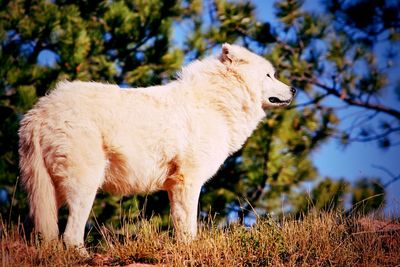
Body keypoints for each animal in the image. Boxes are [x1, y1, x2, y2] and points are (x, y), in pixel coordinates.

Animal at [18, 43, 294, 251]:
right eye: (269, 75)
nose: (293, 89)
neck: (217, 102)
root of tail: (38, 111)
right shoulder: (188, 181)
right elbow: (189, 228)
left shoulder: (174, 185)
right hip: (85, 186)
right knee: (70, 236)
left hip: (49, 193)